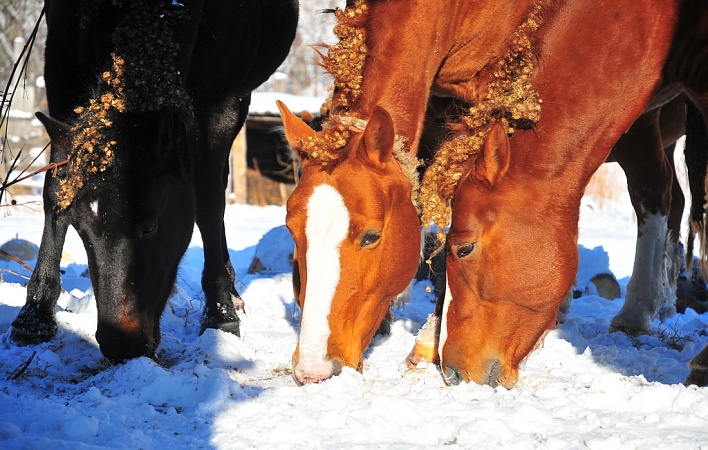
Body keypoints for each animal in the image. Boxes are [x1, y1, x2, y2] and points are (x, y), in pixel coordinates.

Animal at [11, 0, 298, 362]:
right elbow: (54, 189)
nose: (121, 344)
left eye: (150, 226)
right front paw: (33, 315)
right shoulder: (61, 67)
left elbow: (207, 201)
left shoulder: (221, 102)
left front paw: (220, 316)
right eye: (81, 229)